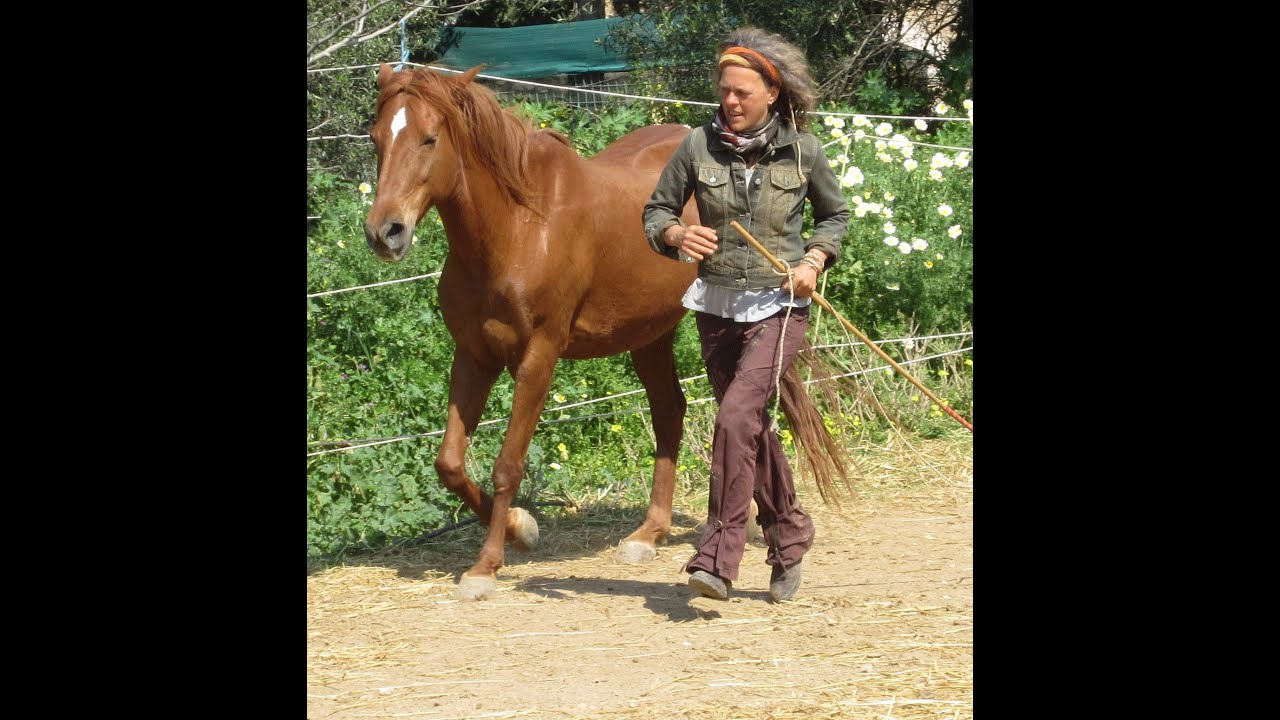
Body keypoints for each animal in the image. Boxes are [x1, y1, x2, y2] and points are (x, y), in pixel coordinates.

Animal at [363, 64, 849, 600]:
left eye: (429, 139)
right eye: (376, 138)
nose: (384, 232)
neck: (517, 226)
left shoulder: (538, 356)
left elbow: (507, 464)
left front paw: (486, 565)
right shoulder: (473, 354)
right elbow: (449, 462)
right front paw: (520, 527)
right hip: (649, 335)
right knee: (671, 412)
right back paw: (648, 533)